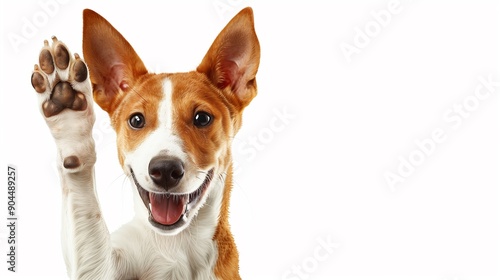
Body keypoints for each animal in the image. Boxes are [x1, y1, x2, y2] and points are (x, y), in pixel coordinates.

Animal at [29, 7, 260, 278]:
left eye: (202, 118)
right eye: (137, 120)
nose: (165, 169)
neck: (175, 245)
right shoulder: (101, 270)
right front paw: (68, 115)